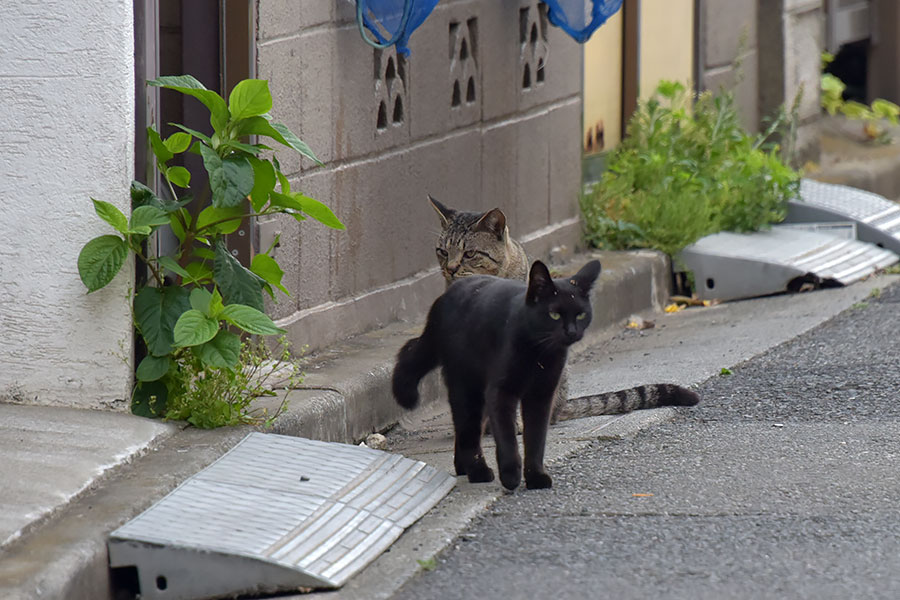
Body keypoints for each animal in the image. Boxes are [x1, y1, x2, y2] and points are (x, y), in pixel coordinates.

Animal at [394, 260, 604, 490]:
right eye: (554, 314)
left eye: (581, 315)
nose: (572, 332)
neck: (539, 353)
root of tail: (445, 296)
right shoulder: (501, 392)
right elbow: (507, 437)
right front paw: (511, 475)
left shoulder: (541, 395)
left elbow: (536, 438)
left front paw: (535, 476)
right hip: (466, 386)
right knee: (468, 431)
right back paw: (478, 471)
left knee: (466, 428)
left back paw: (463, 468)